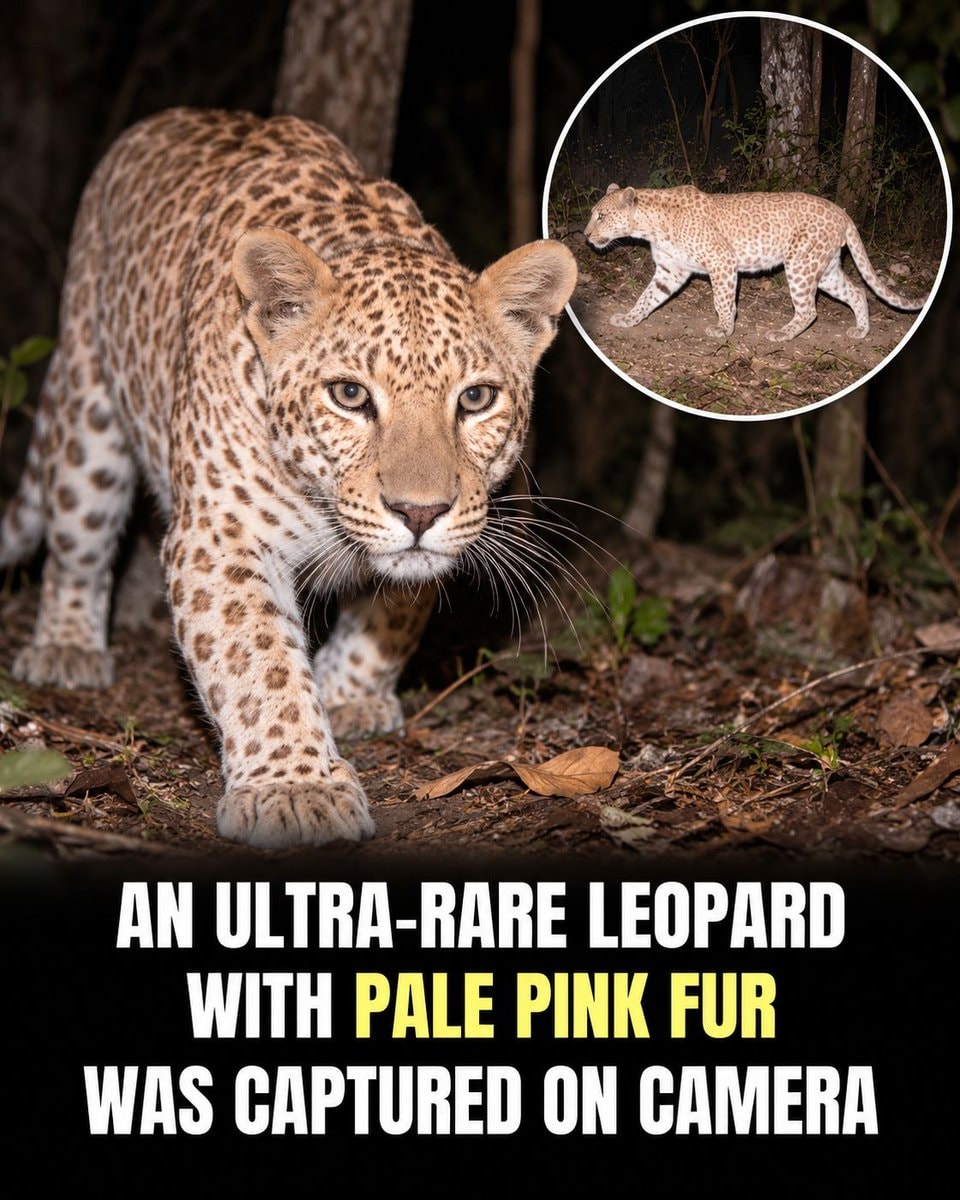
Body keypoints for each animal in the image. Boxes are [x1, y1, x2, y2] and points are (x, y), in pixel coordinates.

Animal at [0, 107, 577, 849]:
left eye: (475, 399)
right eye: (349, 396)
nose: (420, 513)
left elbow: (395, 608)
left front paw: (349, 692)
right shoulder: (218, 537)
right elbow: (258, 659)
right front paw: (296, 787)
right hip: (88, 406)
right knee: (77, 535)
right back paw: (67, 646)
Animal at [583, 183, 926, 342]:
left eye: (602, 216)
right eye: (593, 214)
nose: (585, 234)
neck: (650, 226)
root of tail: (841, 211)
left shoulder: (721, 261)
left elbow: (722, 300)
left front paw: (724, 329)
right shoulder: (671, 271)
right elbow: (646, 298)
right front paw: (629, 319)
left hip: (800, 265)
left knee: (809, 310)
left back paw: (783, 334)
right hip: (825, 270)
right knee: (856, 292)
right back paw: (861, 331)